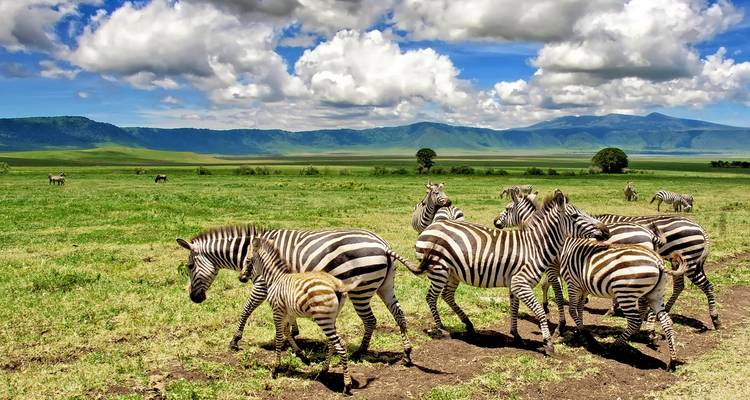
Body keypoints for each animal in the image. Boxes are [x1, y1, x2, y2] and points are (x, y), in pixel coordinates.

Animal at [176, 224, 425, 363]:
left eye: (189, 266)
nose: (195, 298)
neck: (253, 251)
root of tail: (383, 245)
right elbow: (287, 315)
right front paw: (294, 333)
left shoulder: (262, 284)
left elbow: (246, 310)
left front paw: (235, 340)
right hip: (385, 286)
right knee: (399, 314)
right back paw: (407, 353)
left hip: (361, 289)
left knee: (371, 320)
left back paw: (360, 352)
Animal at [240, 236, 360, 395]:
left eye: (248, 260)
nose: (240, 277)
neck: (275, 278)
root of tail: (336, 285)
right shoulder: (288, 312)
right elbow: (287, 332)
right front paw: (303, 357)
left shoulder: (277, 311)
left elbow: (279, 338)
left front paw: (275, 369)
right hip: (330, 318)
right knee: (333, 343)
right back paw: (323, 371)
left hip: (323, 318)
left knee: (340, 345)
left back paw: (346, 385)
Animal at [415, 190, 609, 355]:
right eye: (576, 216)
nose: (606, 230)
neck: (535, 246)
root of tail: (431, 226)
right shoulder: (520, 282)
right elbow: (539, 311)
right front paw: (548, 343)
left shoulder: (515, 283)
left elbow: (514, 308)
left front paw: (516, 335)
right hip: (438, 270)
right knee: (431, 297)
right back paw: (441, 329)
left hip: (453, 272)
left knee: (447, 295)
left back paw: (468, 324)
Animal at [554, 239, 688, 370]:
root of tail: (658, 261)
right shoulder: (584, 286)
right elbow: (580, 308)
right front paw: (580, 331)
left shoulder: (573, 283)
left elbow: (572, 309)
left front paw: (584, 333)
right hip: (656, 295)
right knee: (667, 322)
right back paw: (672, 361)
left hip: (625, 292)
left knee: (634, 321)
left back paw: (613, 347)